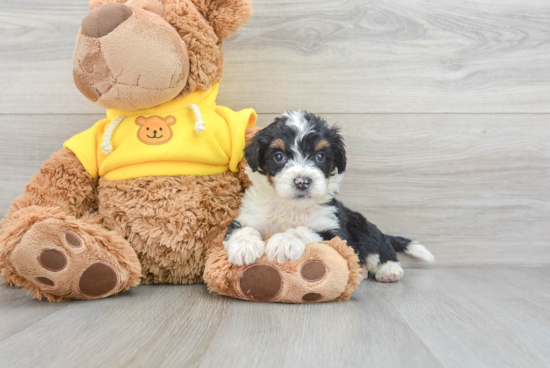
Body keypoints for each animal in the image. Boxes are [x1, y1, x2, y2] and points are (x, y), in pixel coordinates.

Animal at [225, 110, 436, 284]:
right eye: (279, 156)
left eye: (320, 156)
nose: (302, 181)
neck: (292, 206)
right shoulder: (249, 216)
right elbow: (243, 229)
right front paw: (243, 247)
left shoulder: (334, 231)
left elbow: (303, 230)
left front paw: (284, 242)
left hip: (363, 228)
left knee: (381, 249)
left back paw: (389, 270)